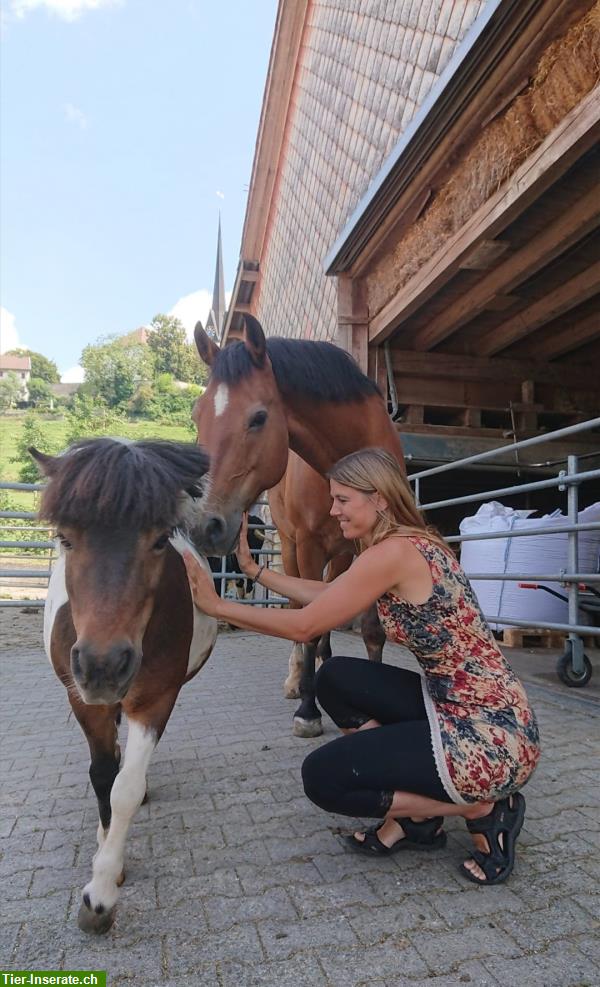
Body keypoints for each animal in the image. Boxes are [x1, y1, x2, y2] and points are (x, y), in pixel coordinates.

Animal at [31, 440, 218, 932]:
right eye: (65, 538)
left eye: (159, 540)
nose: (104, 666)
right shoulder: (83, 700)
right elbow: (102, 776)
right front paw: (106, 860)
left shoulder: (155, 700)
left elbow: (125, 788)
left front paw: (101, 890)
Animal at [191, 318, 404, 740]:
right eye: (197, 415)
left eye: (258, 417)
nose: (206, 525)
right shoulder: (307, 546)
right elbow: (307, 618)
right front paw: (308, 709)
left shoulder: (374, 545)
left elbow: (371, 629)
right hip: (291, 549)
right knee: (297, 607)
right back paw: (296, 681)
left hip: (340, 556)